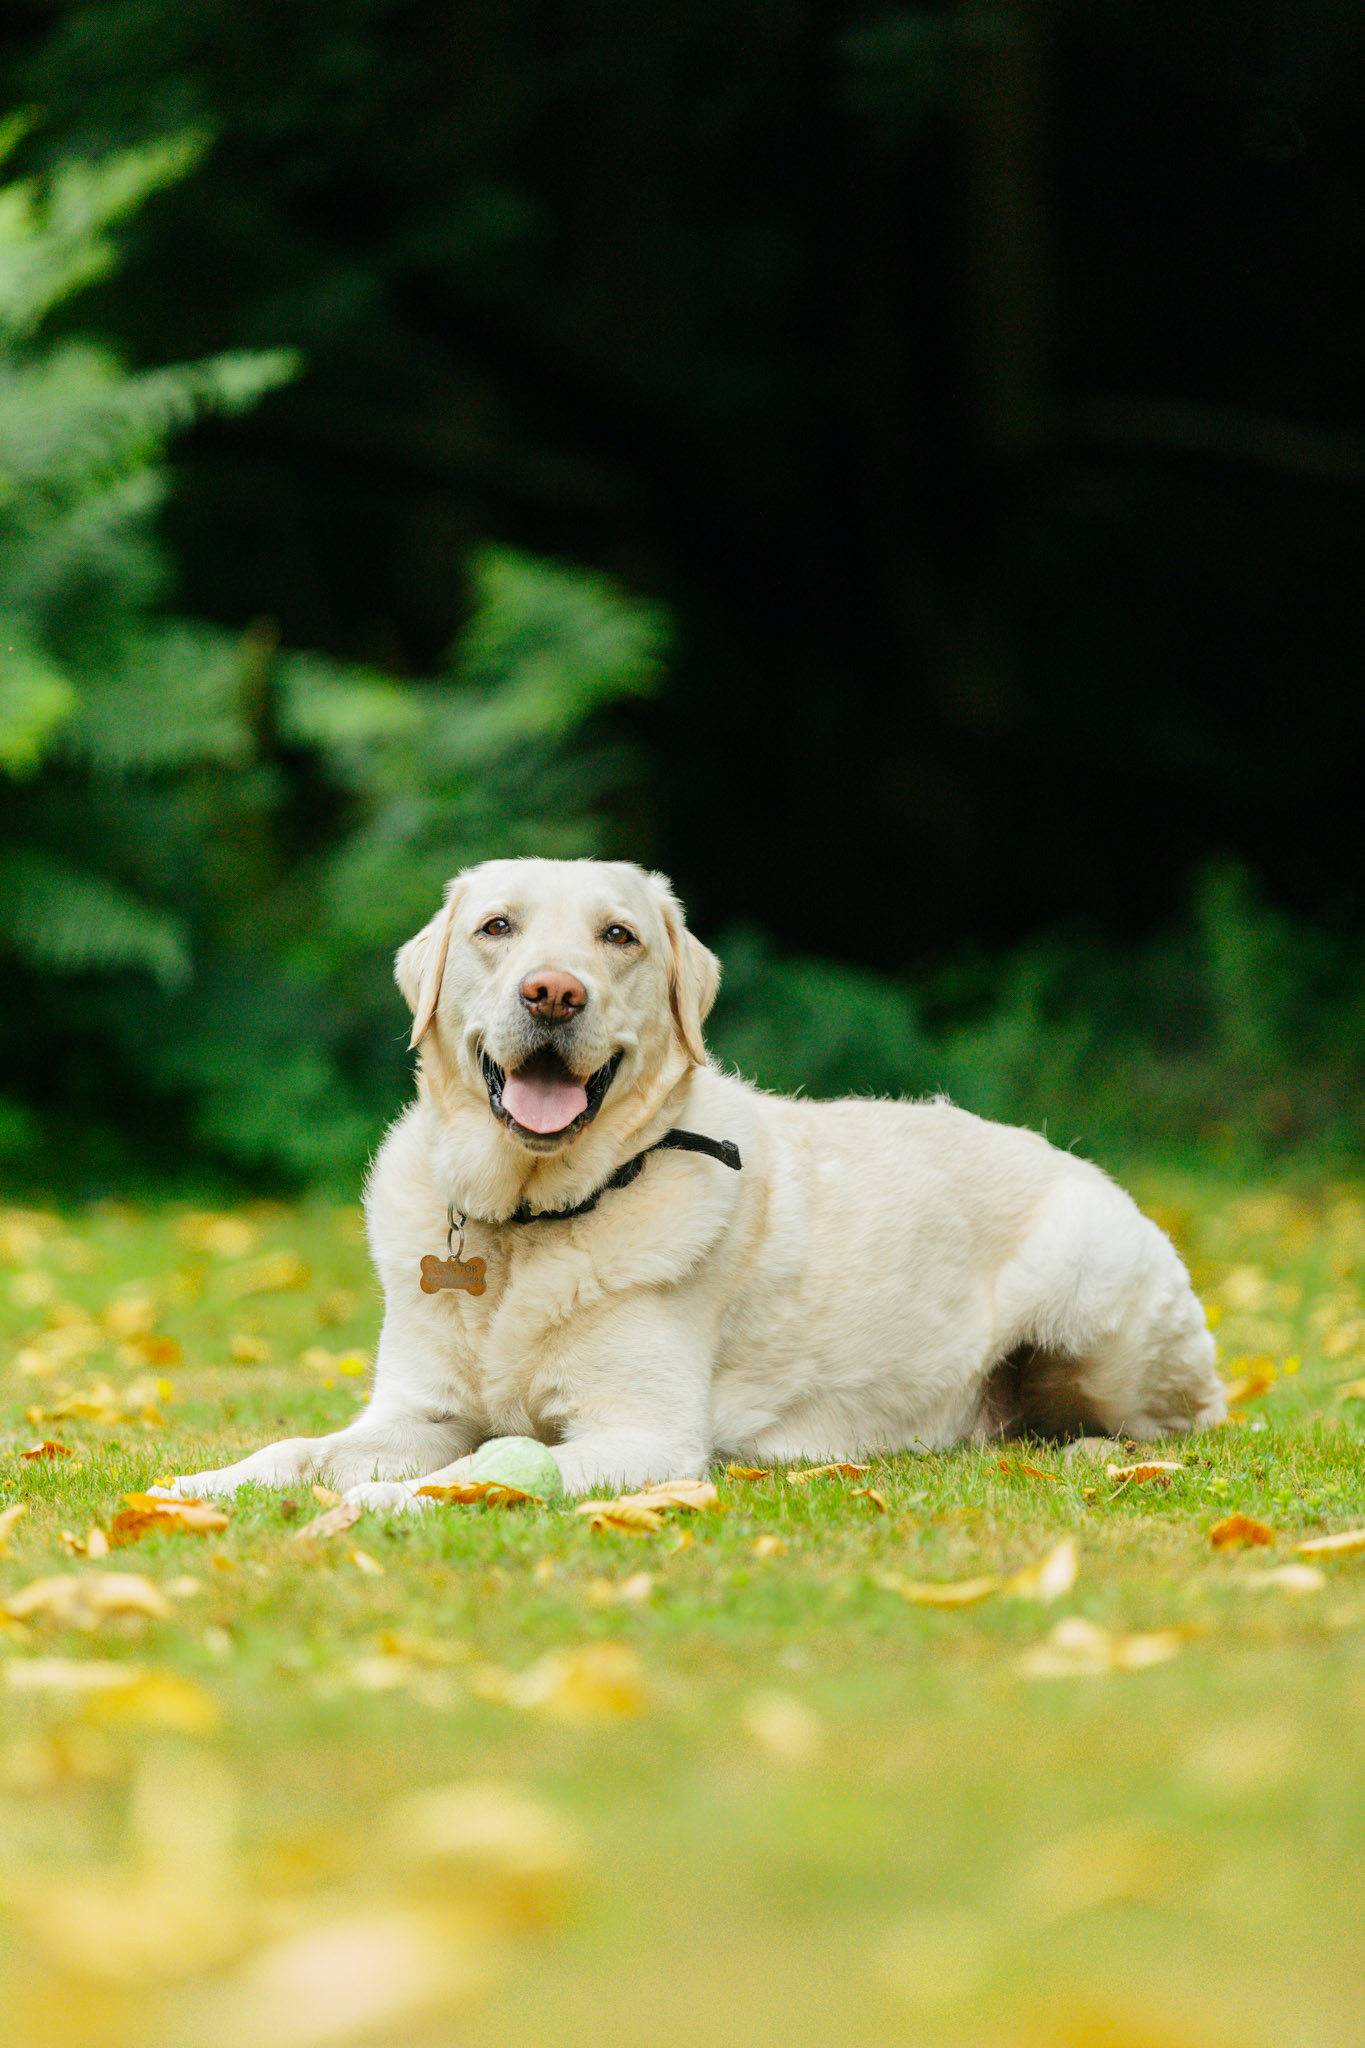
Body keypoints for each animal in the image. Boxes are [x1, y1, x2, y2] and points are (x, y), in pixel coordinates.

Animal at [159, 857, 1225, 1507]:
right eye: (496, 928)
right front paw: (206, 1486)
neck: (527, 1220)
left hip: (1092, 1307)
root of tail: (1079, 1158)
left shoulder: (642, 1434)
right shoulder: (414, 1411)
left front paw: (380, 1501)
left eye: (618, 936)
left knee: (1180, 1416)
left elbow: (472, 1474)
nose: (554, 993)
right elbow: (298, 1450)